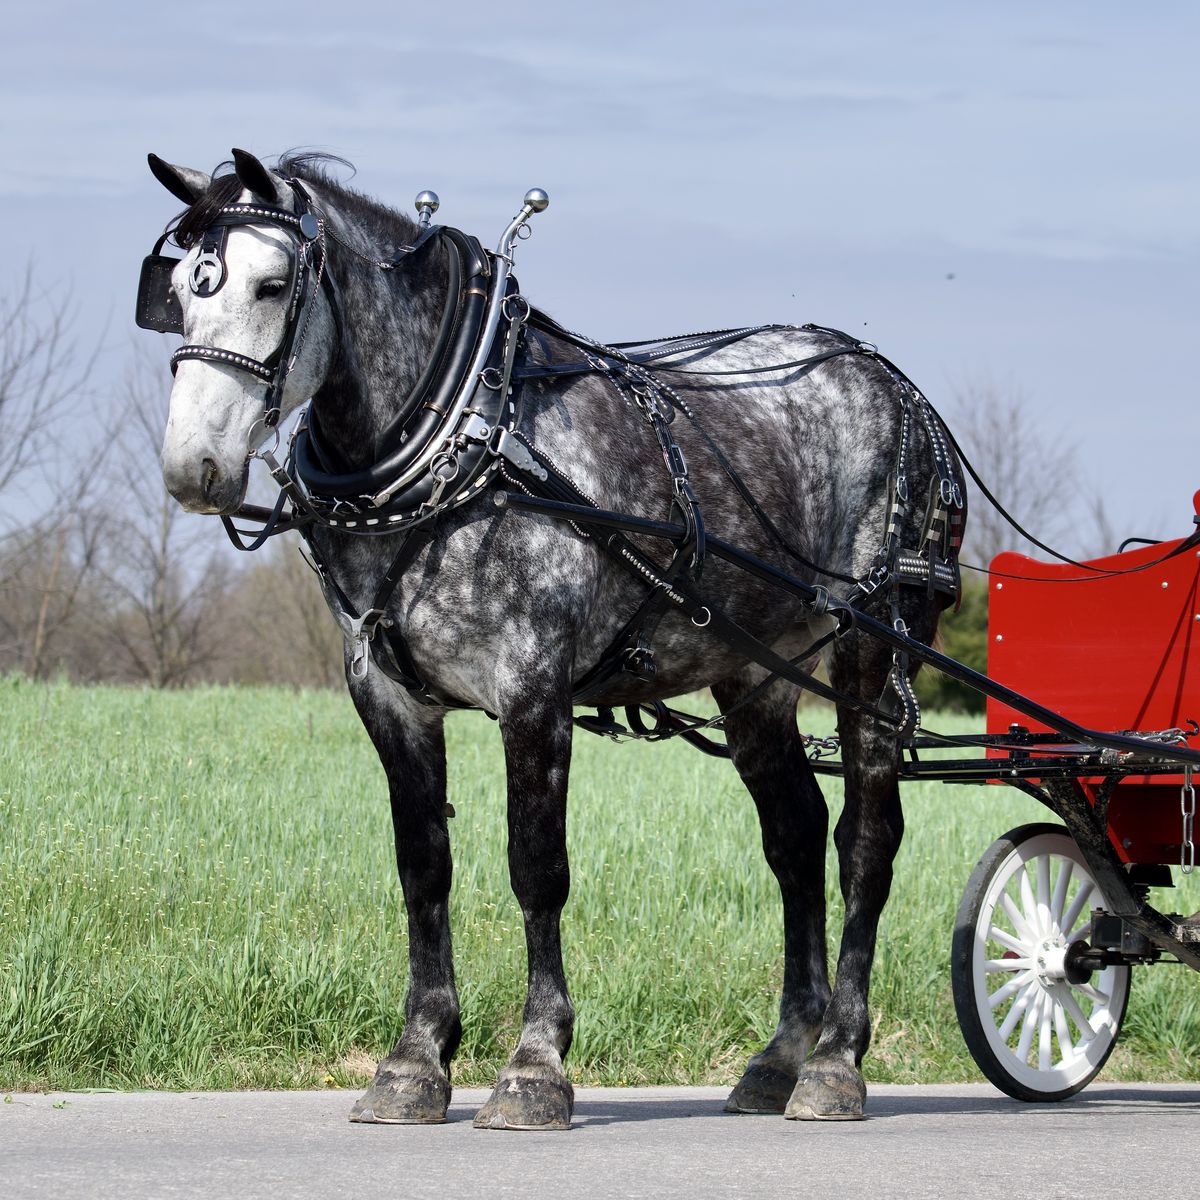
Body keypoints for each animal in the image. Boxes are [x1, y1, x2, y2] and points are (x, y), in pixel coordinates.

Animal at [140, 148, 964, 1129]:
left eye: (271, 286)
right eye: (179, 293)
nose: (193, 468)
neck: (469, 440)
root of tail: (901, 387)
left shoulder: (532, 689)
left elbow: (536, 868)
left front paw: (534, 1064)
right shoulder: (388, 698)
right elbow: (423, 868)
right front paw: (414, 1061)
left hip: (875, 650)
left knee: (864, 846)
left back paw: (836, 1060)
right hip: (755, 673)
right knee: (795, 840)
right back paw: (779, 1058)